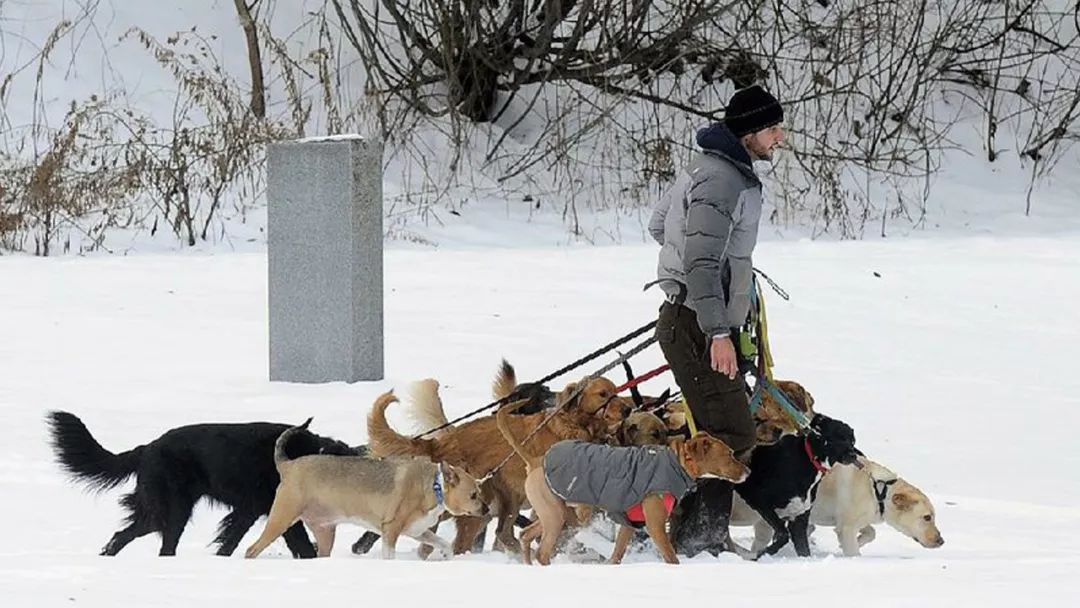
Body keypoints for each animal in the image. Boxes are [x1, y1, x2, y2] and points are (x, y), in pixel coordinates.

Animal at [46, 412, 358, 557]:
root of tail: (148, 448)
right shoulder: (277, 511)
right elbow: (302, 545)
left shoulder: (250, 512)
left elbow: (230, 541)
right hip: (173, 510)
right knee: (161, 545)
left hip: (158, 512)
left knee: (121, 535)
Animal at [245, 401, 486, 565]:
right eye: (473, 494)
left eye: (479, 491)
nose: (485, 510)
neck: (433, 487)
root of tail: (288, 465)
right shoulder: (391, 530)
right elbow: (389, 555)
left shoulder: (417, 530)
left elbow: (442, 542)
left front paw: (446, 554)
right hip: (282, 518)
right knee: (251, 550)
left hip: (324, 530)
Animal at [734, 414, 859, 561]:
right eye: (839, 437)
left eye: (852, 441)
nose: (853, 455)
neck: (808, 461)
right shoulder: (760, 501)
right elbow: (783, 535)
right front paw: (762, 553)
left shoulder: (798, 519)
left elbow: (803, 550)